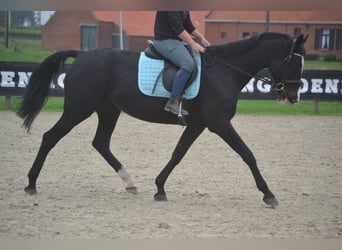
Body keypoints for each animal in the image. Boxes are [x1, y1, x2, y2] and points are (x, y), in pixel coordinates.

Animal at [17, 32, 308, 207]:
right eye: (295, 62)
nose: (293, 97)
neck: (225, 71)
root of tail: (83, 55)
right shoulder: (219, 124)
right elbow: (247, 154)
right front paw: (268, 194)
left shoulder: (197, 125)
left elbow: (177, 154)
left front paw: (159, 188)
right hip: (78, 110)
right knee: (50, 137)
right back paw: (31, 184)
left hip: (108, 110)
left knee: (100, 143)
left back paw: (130, 183)